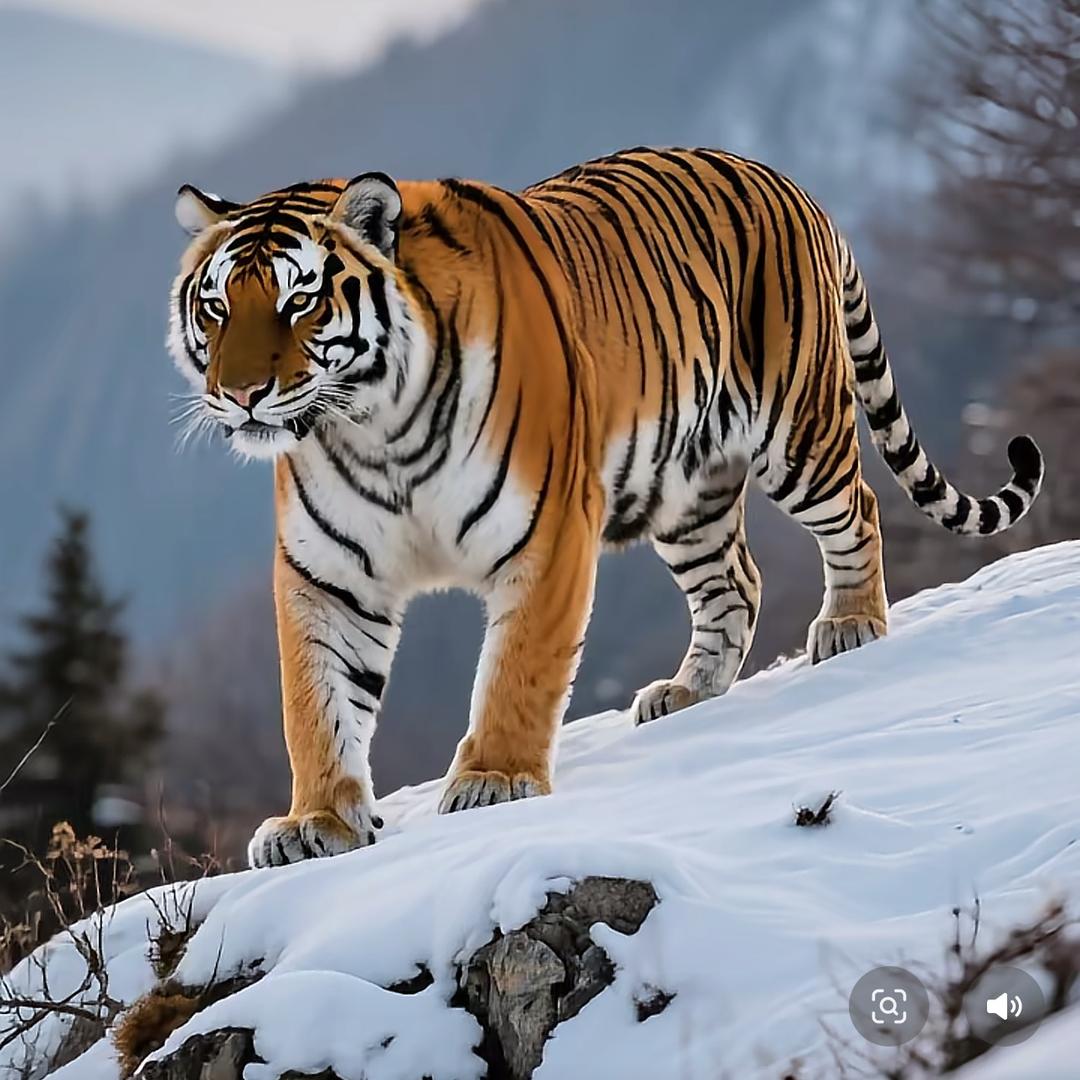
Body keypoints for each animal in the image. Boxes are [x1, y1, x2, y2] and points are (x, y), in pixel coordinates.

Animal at [168, 148, 1043, 868]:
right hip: (688, 490)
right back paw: (687, 691)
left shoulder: (547, 532)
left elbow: (518, 669)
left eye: (299, 303)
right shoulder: (328, 573)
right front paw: (316, 823)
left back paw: (852, 625)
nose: (240, 395)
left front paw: (493, 781)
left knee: (856, 507)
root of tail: (784, 180)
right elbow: (315, 702)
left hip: (798, 432)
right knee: (737, 583)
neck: (373, 428)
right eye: (216, 308)